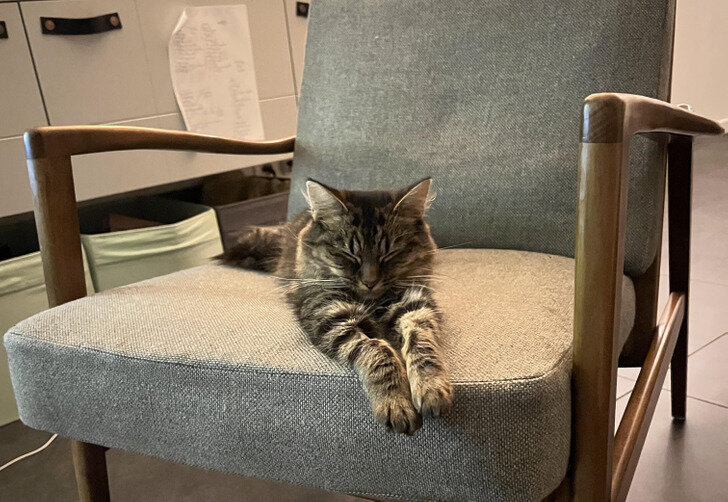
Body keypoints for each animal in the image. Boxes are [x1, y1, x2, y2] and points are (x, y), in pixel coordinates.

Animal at [222, 178, 452, 435]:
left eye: (390, 254)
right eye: (348, 255)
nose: (370, 282)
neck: (371, 301)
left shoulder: (414, 305)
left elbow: (422, 346)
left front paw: (431, 388)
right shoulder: (331, 314)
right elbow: (378, 350)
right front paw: (395, 403)